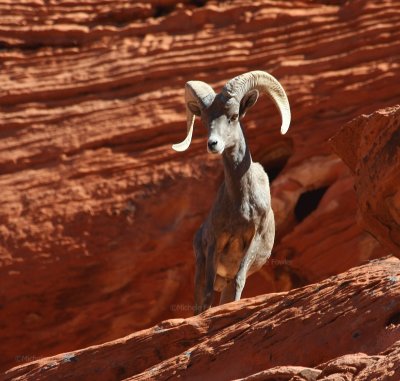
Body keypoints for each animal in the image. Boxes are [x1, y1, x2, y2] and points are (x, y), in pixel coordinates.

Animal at [172, 70, 290, 314]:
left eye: (234, 116)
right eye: (205, 120)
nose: (213, 144)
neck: (242, 204)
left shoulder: (253, 240)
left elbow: (239, 281)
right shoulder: (215, 242)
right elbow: (207, 293)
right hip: (201, 266)